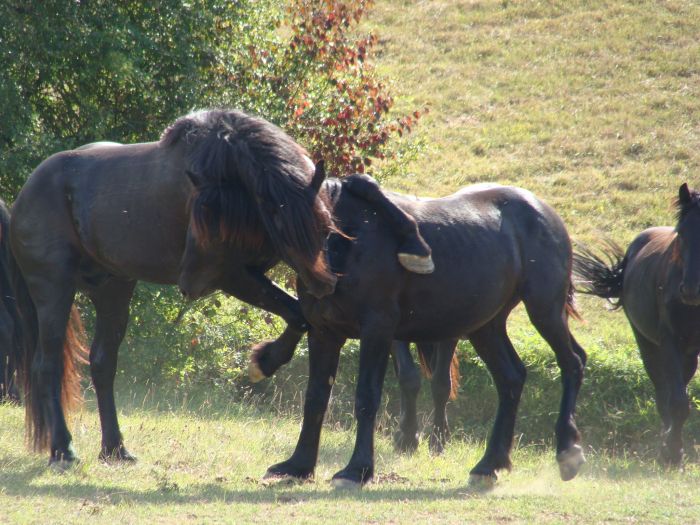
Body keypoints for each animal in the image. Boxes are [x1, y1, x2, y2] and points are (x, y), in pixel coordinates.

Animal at [10, 108, 432, 464]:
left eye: (324, 225)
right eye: (280, 228)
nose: (323, 285)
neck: (236, 184)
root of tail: (23, 196)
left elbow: (299, 315)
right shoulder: (228, 276)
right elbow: (297, 314)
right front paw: (264, 362)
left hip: (114, 290)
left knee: (102, 364)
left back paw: (115, 448)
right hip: (54, 290)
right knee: (47, 365)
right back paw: (63, 449)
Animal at [179, 174, 584, 486]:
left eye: (212, 225)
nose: (186, 279)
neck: (342, 239)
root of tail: (544, 212)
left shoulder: (377, 331)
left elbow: (366, 398)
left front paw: (357, 470)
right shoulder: (324, 332)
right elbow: (315, 398)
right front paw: (298, 465)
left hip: (544, 310)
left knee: (573, 363)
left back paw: (567, 449)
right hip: (486, 325)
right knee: (512, 378)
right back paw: (489, 465)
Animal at [576, 183, 700, 462]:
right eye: (681, 235)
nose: (690, 290)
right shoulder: (669, 341)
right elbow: (677, 402)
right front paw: (673, 453)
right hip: (647, 343)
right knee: (663, 393)